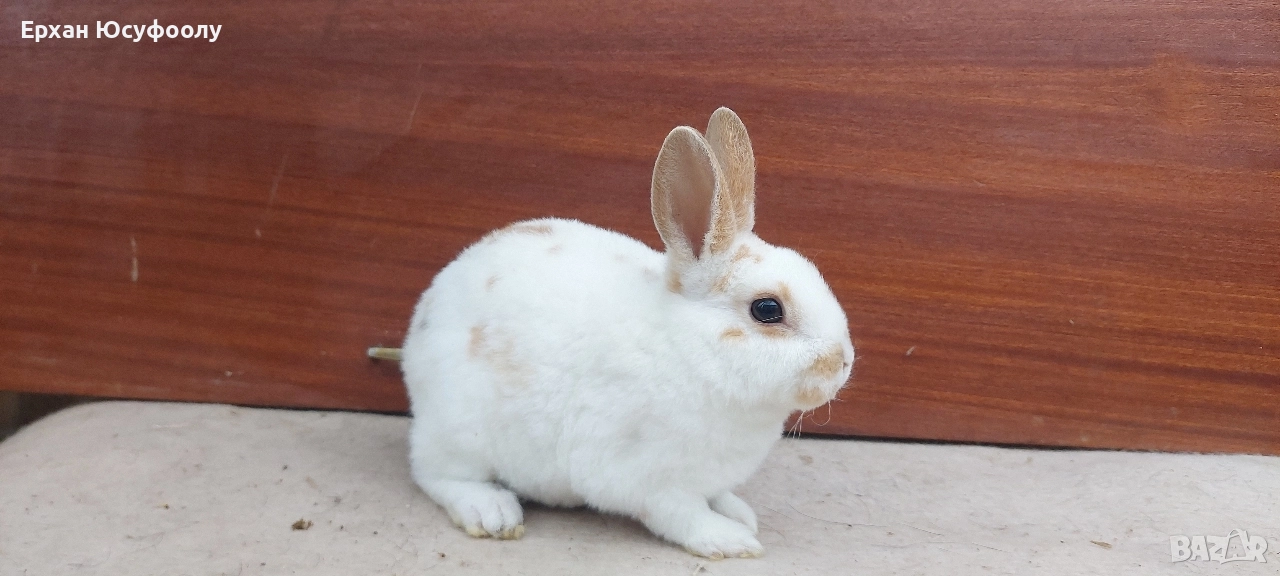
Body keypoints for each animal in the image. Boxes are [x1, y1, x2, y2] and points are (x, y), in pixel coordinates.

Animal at [398, 107, 854, 559]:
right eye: (767, 309)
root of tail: (419, 325)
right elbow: (680, 514)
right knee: (433, 472)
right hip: (461, 433)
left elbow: (716, 495)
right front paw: (730, 540)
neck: (690, 352)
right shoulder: (646, 478)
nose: (844, 362)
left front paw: (740, 513)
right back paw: (492, 512)